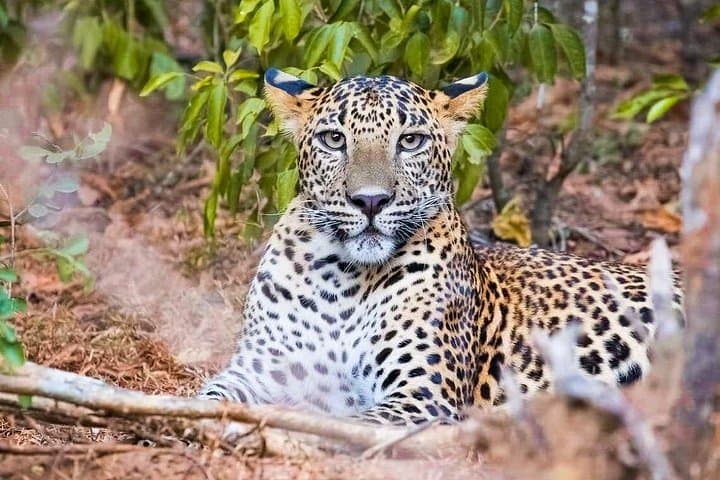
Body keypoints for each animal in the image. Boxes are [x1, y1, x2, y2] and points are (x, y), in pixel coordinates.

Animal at [199, 68, 684, 425]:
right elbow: (208, 394)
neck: (342, 278)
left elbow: (356, 426)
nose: (370, 200)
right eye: (334, 139)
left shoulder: (422, 395)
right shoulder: (259, 369)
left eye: (410, 140)